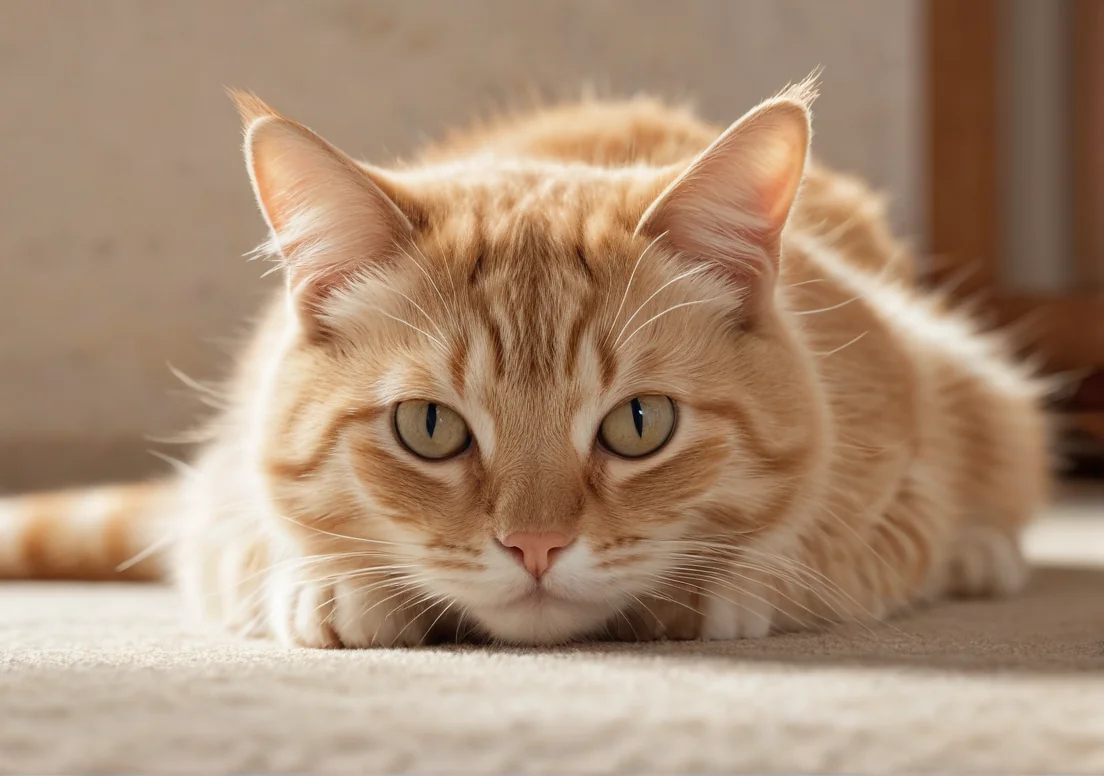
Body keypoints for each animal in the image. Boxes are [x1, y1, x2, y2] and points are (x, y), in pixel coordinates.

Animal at [0, 78, 1051, 644]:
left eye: (640, 424)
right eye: (429, 428)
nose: (536, 547)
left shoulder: (922, 427)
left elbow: (831, 548)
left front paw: (716, 590)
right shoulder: (220, 498)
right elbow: (250, 538)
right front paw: (332, 583)